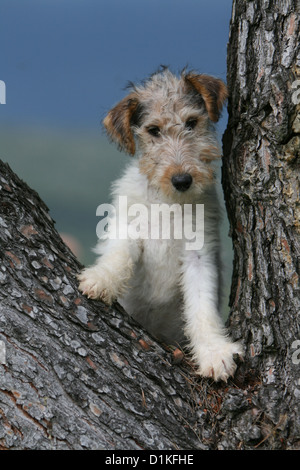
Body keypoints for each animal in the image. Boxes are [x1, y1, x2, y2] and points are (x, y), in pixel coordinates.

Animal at [78, 67, 243, 382]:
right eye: (153, 130)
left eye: (192, 122)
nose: (182, 180)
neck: (169, 201)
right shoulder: (128, 227)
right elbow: (118, 256)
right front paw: (100, 280)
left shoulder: (199, 252)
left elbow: (202, 305)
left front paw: (214, 352)